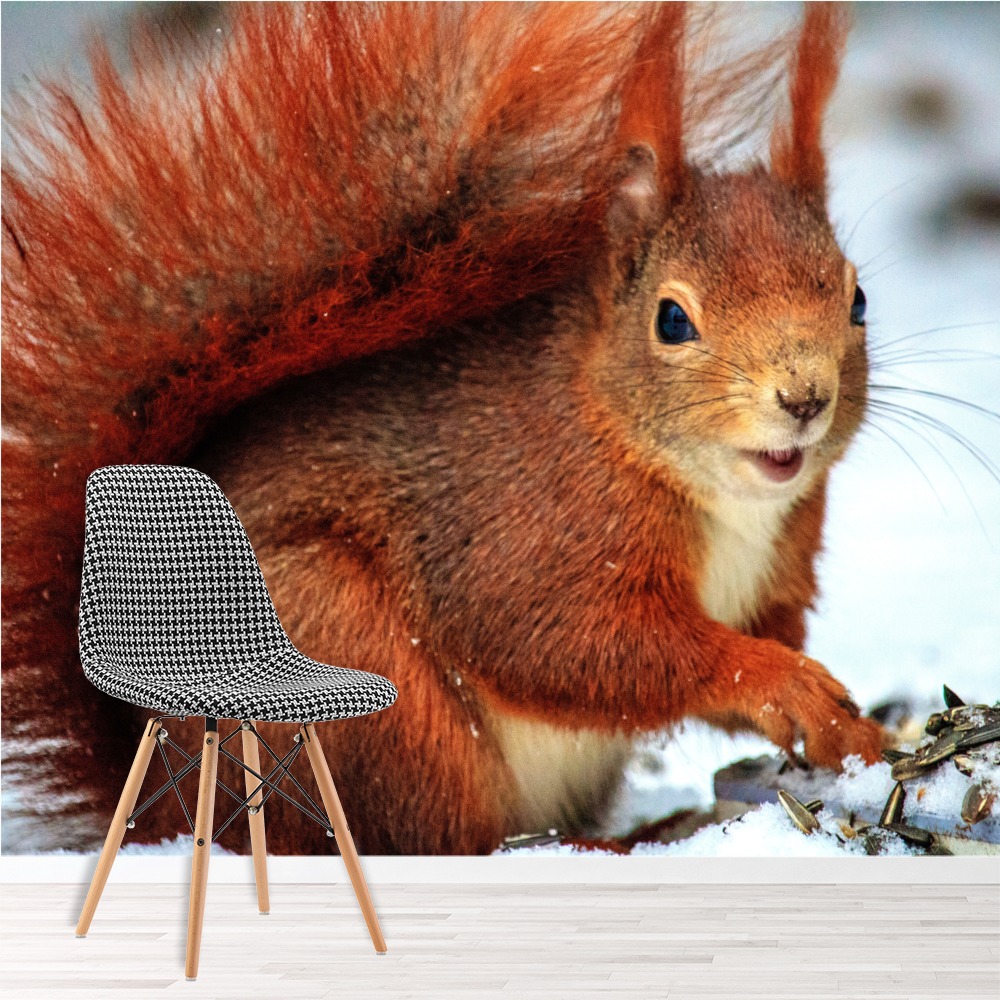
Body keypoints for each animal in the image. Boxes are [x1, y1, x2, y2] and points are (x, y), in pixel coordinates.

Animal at [2, 3, 885, 855]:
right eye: (672, 320)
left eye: (858, 299)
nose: (804, 397)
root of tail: (165, 796)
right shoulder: (523, 533)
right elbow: (575, 645)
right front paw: (780, 681)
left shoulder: (779, 568)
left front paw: (850, 728)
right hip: (362, 674)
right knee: (439, 838)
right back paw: (609, 846)